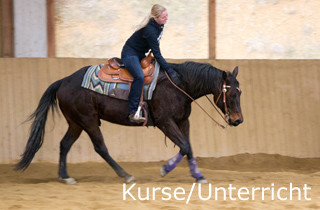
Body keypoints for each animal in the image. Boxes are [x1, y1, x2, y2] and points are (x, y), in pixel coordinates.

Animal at [15, 60, 242, 184]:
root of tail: (64, 81)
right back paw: (125, 175)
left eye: (240, 92)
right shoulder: (165, 122)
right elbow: (185, 146)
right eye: (230, 94)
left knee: (64, 145)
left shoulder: (182, 121)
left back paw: (65, 176)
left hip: (76, 123)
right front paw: (165, 169)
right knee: (100, 148)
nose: (238, 120)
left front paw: (198, 175)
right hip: (88, 121)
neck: (178, 84)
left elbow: (188, 148)